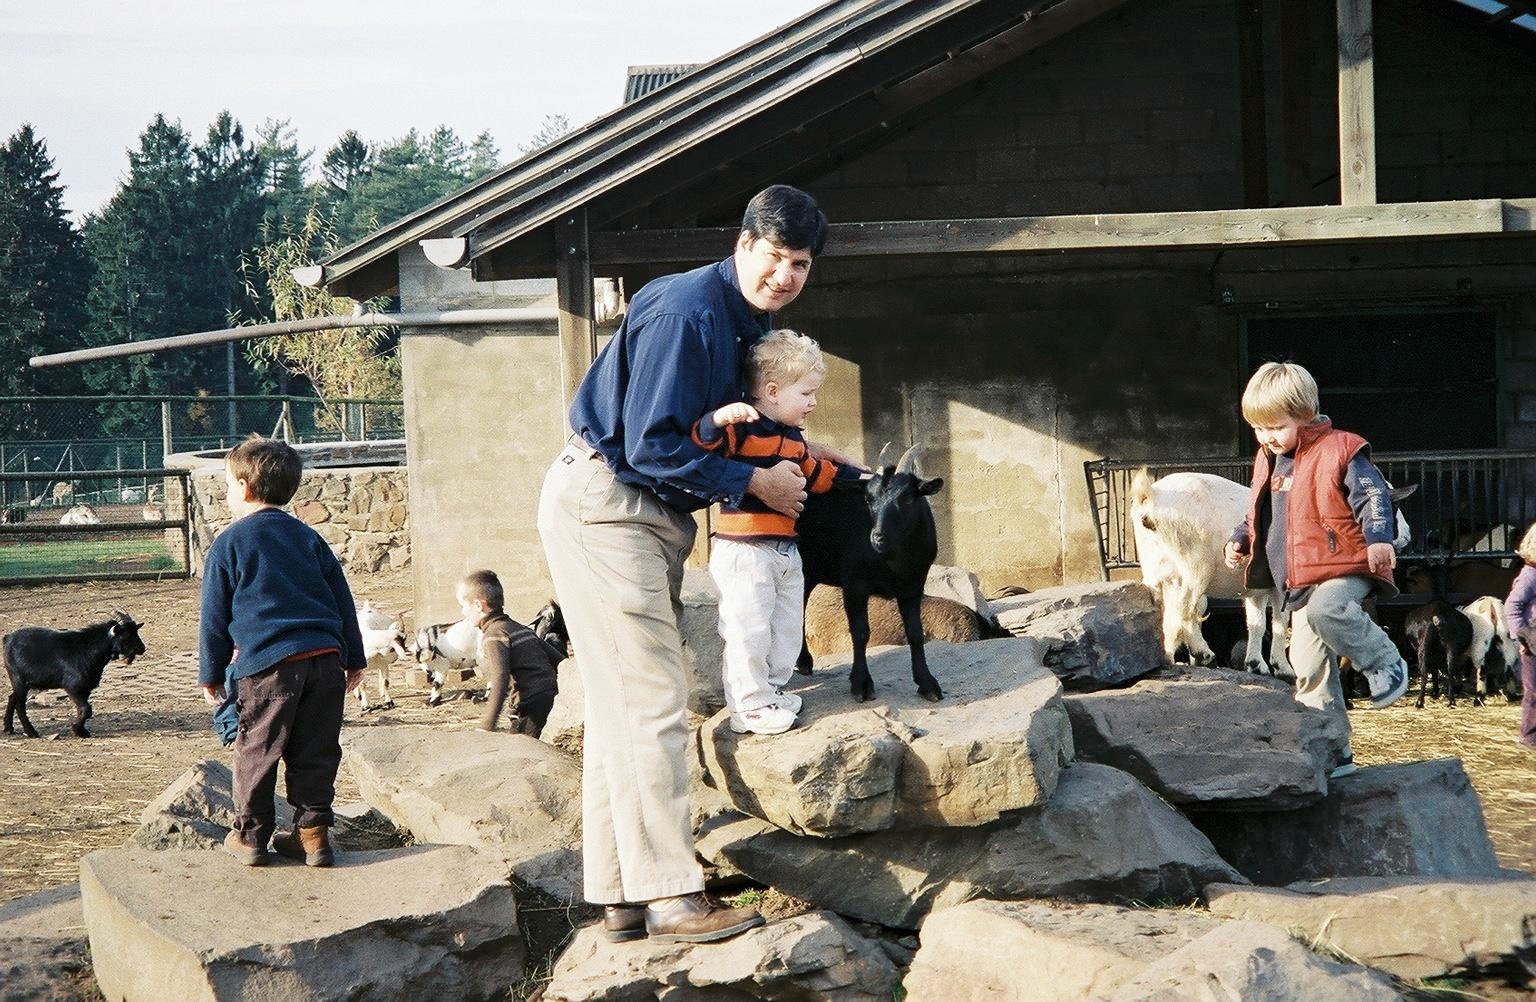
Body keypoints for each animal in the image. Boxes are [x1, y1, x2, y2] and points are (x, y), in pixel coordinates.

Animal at [3, 605, 144, 740]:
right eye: (125, 634)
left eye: (135, 631)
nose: (142, 648)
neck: (87, 650)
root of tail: (8, 638)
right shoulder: (73, 688)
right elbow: (86, 709)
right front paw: (78, 730)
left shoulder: (85, 689)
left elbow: (83, 710)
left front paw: (81, 730)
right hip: (18, 679)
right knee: (20, 705)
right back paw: (31, 732)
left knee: (12, 698)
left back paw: (8, 728)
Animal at [798, 445, 940, 703]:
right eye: (868, 498)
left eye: (906, 498)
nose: (877, 537)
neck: (893, 561)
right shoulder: (854, 585)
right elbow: (860, 632)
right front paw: (861, 684)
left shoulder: (913, 587)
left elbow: (915, 633)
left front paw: (928, 683)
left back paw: (803, 662)